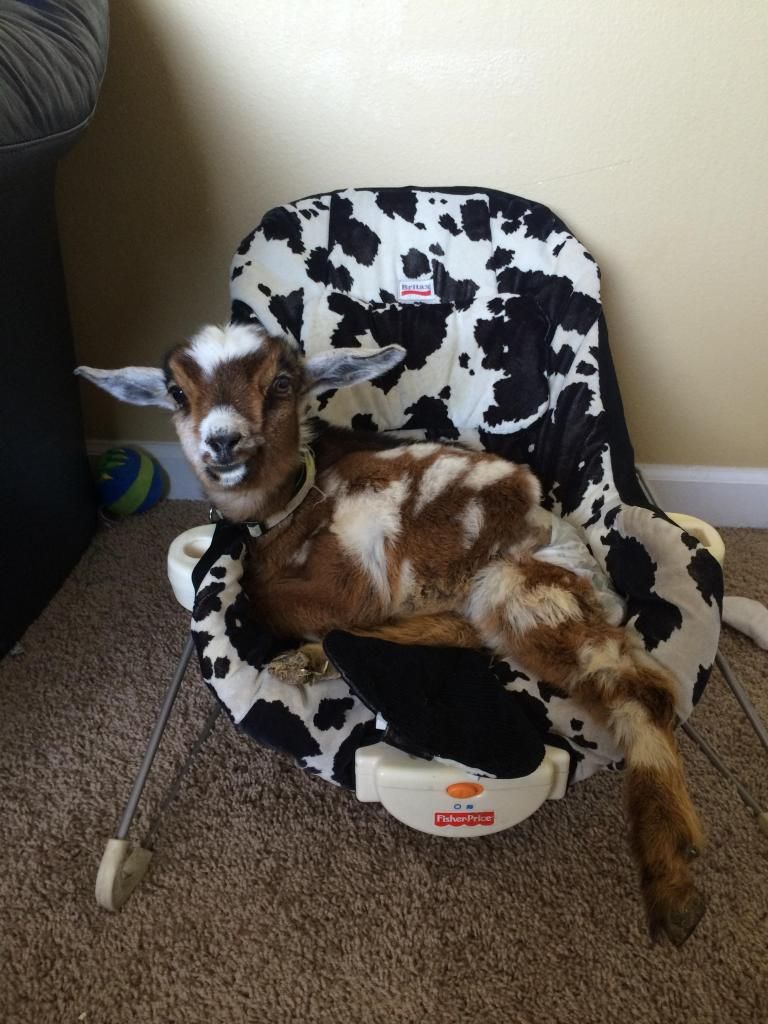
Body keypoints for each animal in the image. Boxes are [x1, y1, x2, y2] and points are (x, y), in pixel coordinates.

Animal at [77, 321, 705, 945]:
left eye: (282, 383)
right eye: (177, 392)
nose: (223, 442)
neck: (292, 510)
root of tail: (599, 586)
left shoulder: (357, 569)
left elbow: (273, 597)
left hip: (521, 589)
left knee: (641, 690)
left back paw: (674, 891)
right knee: (471, 636)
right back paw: (320, 658)